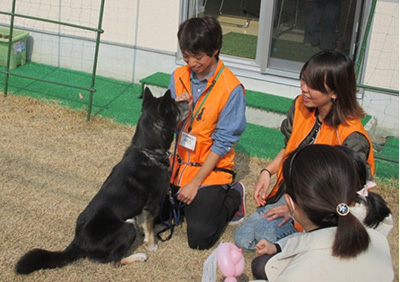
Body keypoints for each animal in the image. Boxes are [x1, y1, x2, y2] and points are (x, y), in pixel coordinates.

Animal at [15, 87, 189, 274]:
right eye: (175, 105)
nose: (188, 101)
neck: (148, 150)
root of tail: (78, 242)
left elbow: (143, 222)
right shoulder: (152, 204)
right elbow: (149, 228)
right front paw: (151, 245)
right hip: (127, 227)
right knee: (115, 261)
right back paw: (139, 256)